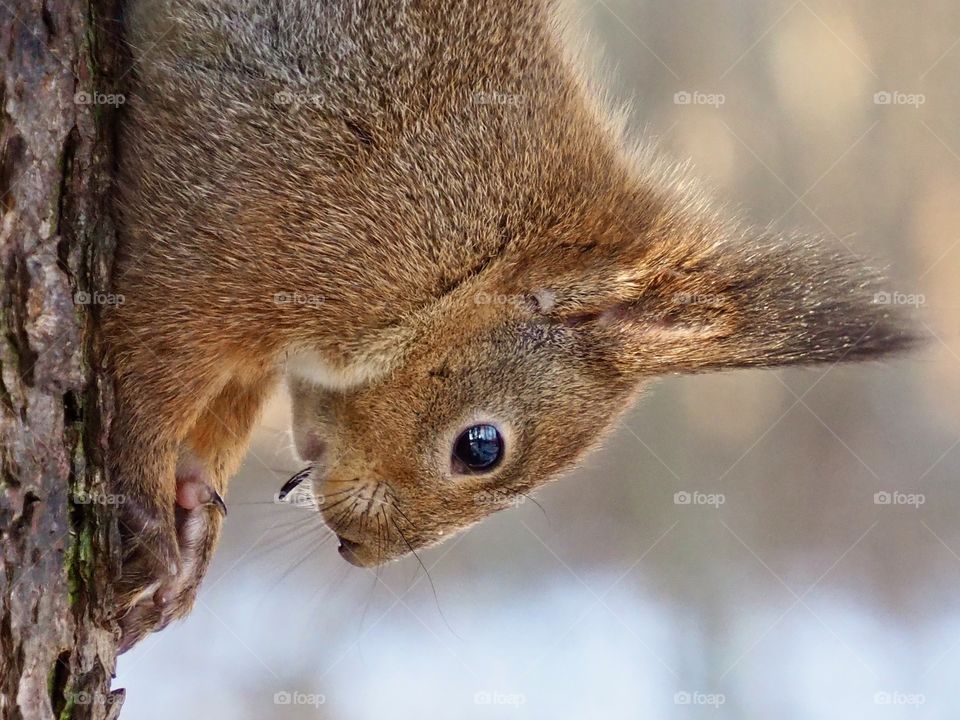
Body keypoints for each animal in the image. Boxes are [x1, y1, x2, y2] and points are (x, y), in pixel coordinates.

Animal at [105, 0, 916, 651]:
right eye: (481, 447)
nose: (359, 549)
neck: (468, 262)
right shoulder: (259, 241)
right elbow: (154, 359)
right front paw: (146, 505)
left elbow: (218, 422)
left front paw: (193, 529)